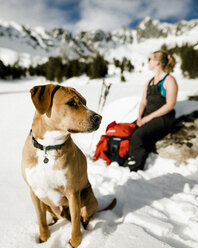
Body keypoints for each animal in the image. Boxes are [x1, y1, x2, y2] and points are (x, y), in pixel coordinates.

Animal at [21, 84, 102, 247]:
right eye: (71, 102)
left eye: (85, 102)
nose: (99, 118)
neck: (48, 147)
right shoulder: (34, 192)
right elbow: (41, 221)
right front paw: (44, 240)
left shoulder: (72, 192)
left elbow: (76, 224)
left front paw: (75, 243)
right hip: (46, 203)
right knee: (54, 217)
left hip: (89, 198)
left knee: (83, 218)